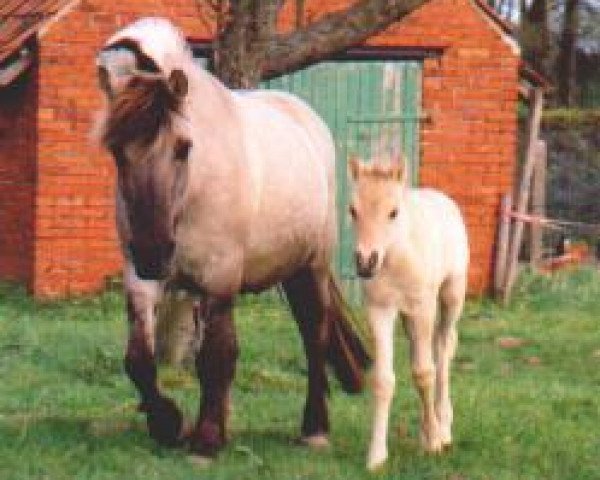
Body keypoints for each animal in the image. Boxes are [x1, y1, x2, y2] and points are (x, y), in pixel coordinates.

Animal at [95, 17, 368, 458]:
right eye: (118, 151)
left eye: (183, 148)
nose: (154, 251)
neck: (193, 192)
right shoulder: (140, 277)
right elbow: (138, 359)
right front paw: (169, 423)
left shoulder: (219, 277)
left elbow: (214, 357)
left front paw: (205, 440)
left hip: (311, 267)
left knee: (314, 338)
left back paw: (314, 428)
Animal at [346, 157, 468, 468]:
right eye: (353, 210)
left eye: (393, 212)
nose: (366, 262)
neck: (396, 257)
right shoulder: (380, 311)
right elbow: (383, 380)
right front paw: (376, 456)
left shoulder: (423, 307)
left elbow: (424, 373)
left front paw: (434, 443)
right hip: (407, 317)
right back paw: (427, 428)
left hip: (451, 296)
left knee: (443, 348)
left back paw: (443, 427)